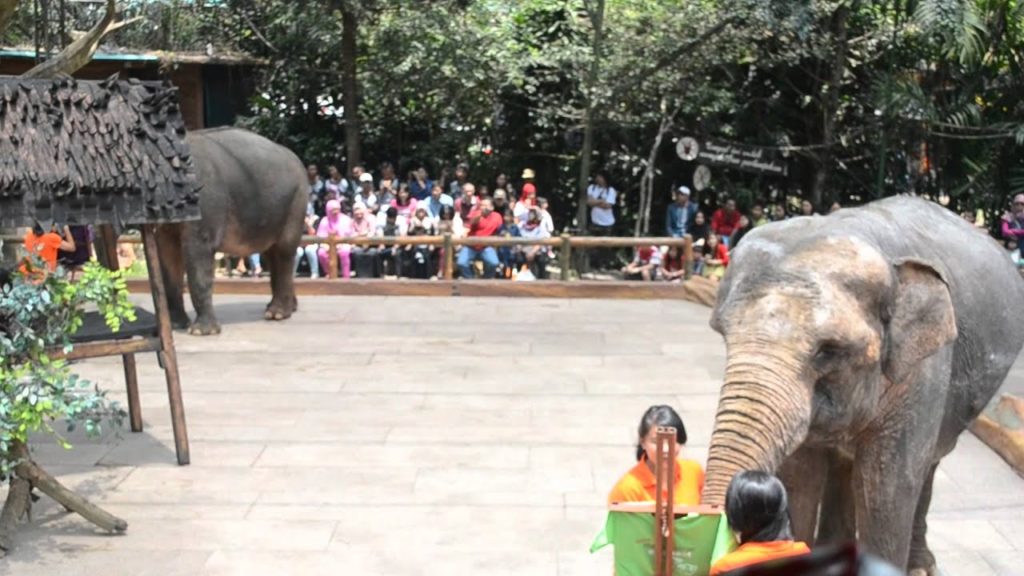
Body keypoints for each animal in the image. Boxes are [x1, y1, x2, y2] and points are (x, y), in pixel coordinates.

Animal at [158, 127, 308, 335]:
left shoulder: (204, 202)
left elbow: (199, 249)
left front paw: (200, 332)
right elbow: (167, 254)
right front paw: (175, 326)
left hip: (296, 201)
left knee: (284, 250)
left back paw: (277, 314)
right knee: (271, 253)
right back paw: (282, 308)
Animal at [702, 195, 1024, 574]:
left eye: (828, 351)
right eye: (723, 334)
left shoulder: (924, 368)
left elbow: (886, 487)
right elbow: (799, 477)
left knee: (926, 464)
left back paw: (920, 566)